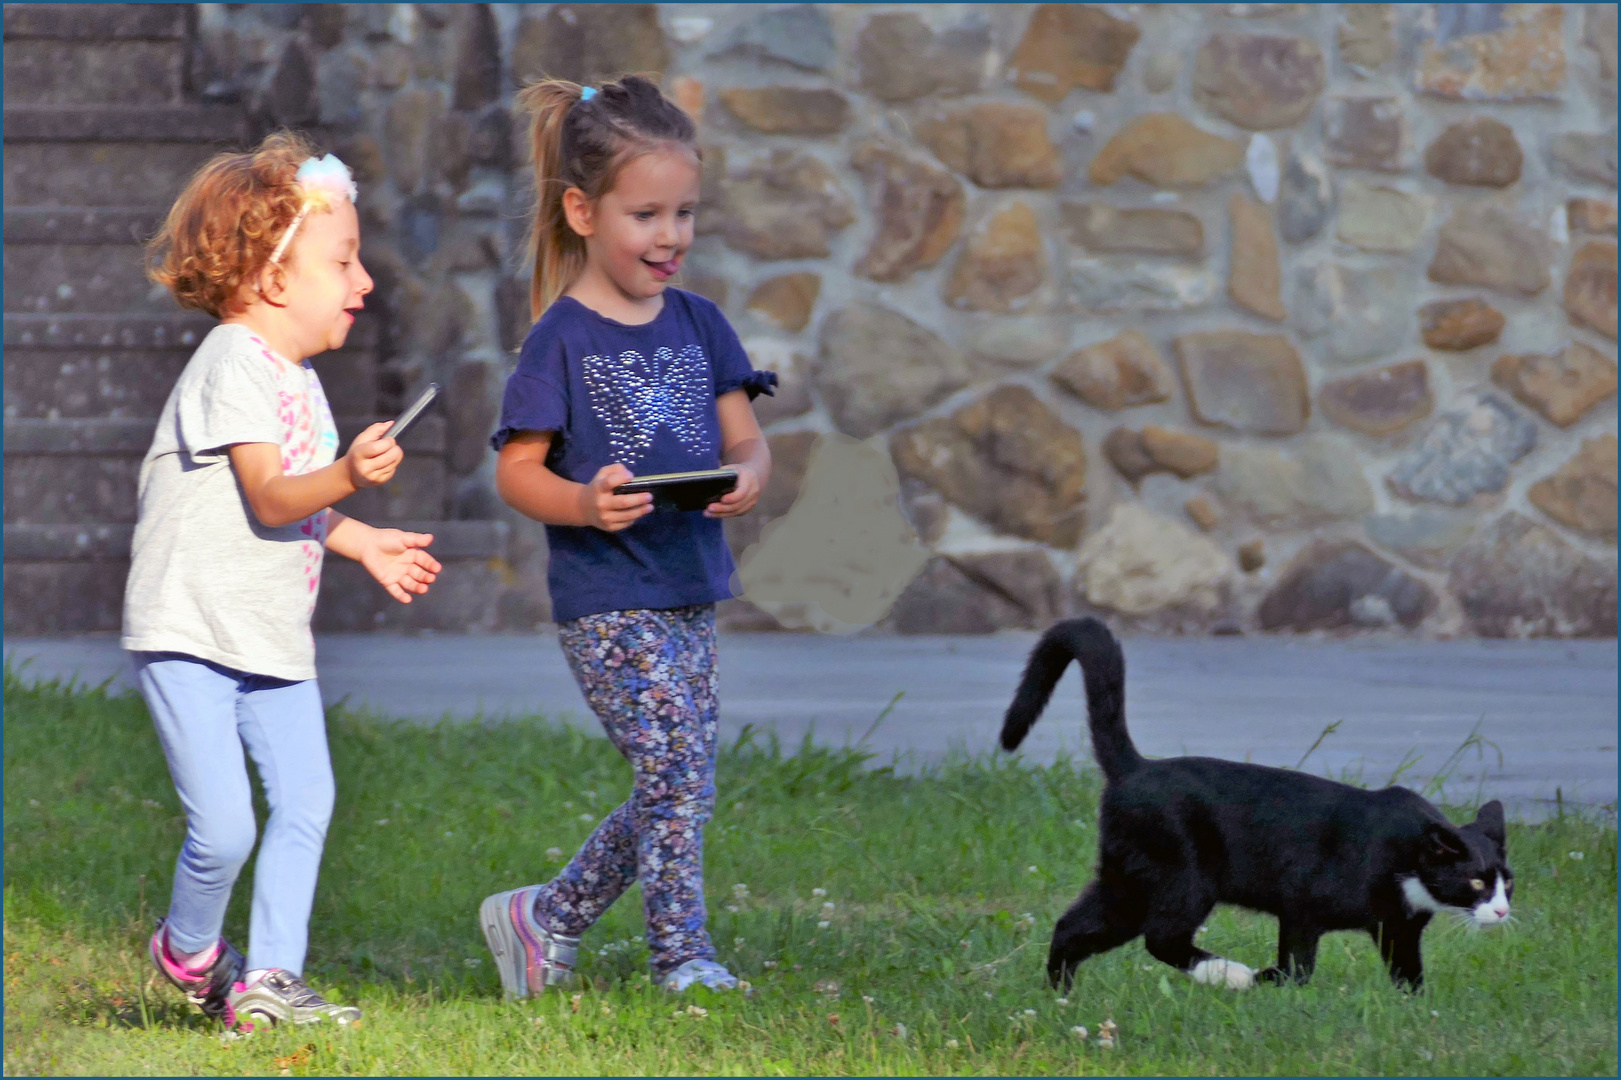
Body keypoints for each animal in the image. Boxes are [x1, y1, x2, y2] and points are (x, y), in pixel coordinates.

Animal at [998, 619, 1517, 985]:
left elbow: (1409, 976)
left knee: (1073, 927)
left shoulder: (1399, 930)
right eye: (1475, 882)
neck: (1406, 862)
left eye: (1506, 882)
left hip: (1127, 881)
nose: (1501, 911)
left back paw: (1060, 998)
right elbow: (1299, 964)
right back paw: (1229, 975)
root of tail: (1136, 767)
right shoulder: (1303, 903)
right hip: (1183, 878)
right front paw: (1271, 980)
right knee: (1162, 937)